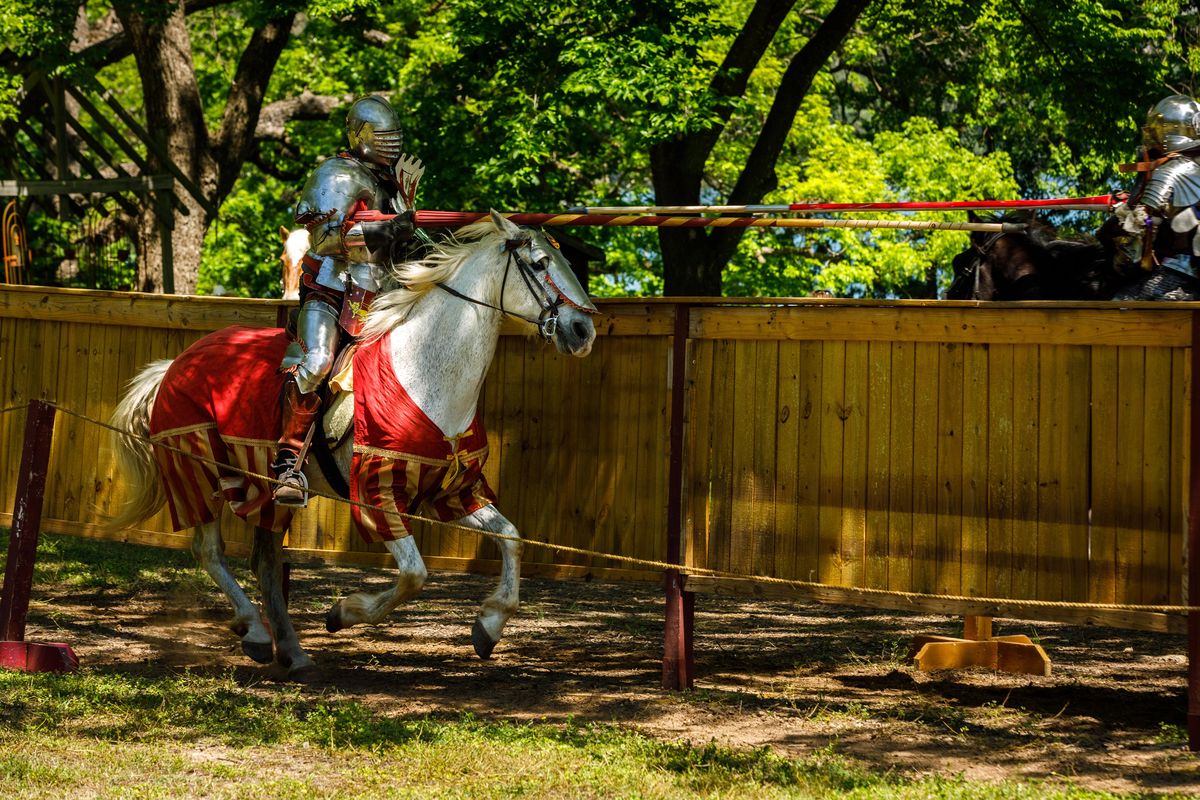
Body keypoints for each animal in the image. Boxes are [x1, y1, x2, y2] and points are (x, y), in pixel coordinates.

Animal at [105, 211, 597, 676]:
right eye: (540, 263)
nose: (582, 330)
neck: (422, 371)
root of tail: (174, 365)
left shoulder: (456, 491)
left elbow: (511, 539)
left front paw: (489, 626)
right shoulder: (377, 495)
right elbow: (414, 575)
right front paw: (343, 613)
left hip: (265, 493)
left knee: (264, 564)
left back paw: (293, 653)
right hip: (197, 469)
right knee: (209, 551)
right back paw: (256, 631)